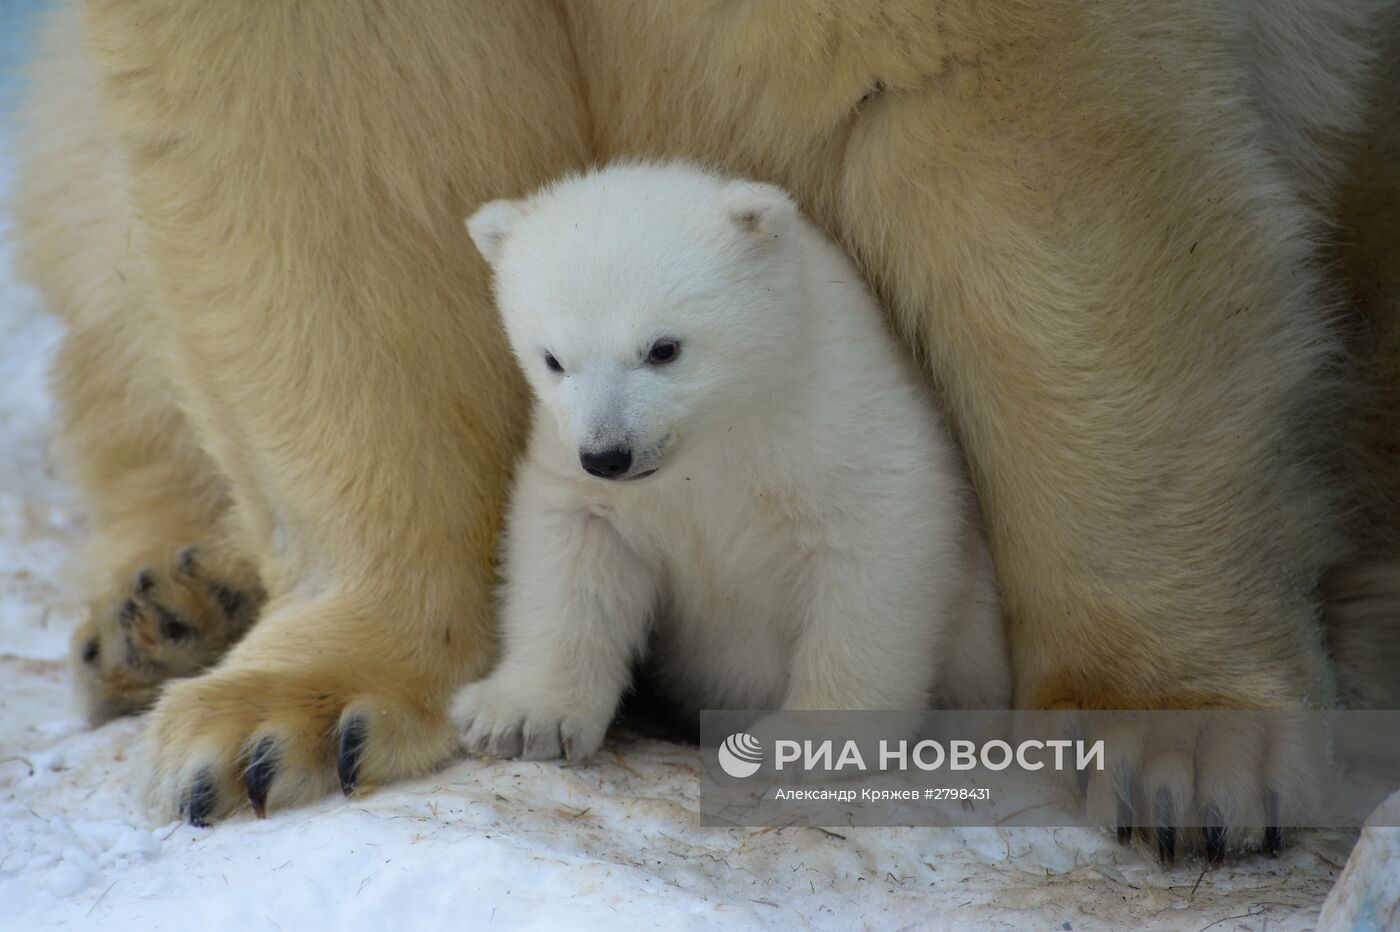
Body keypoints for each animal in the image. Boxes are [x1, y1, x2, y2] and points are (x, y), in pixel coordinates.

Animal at [13, 0, 1400, 839]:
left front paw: (1183, 745)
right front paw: (280, 725)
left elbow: (1008, 126)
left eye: (670, 347)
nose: (611, 447)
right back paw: (165, 612)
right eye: (551, 353)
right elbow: (307, 144)